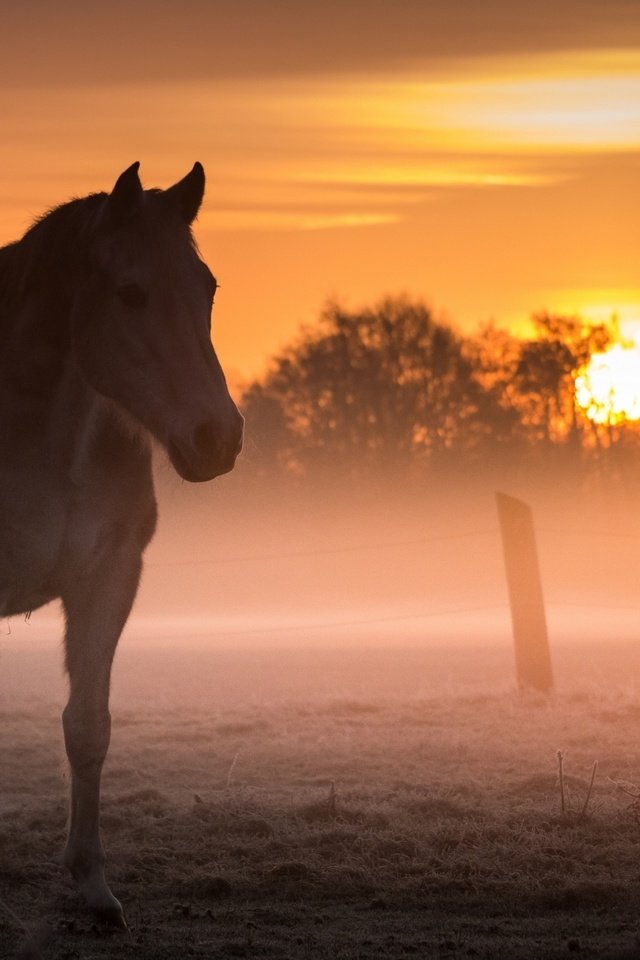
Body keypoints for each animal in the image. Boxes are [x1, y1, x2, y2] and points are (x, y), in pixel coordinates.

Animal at [0, 165, 245, 928]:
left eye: (209, 288)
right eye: (130, 292)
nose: (217, 438)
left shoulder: (109, 580)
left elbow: (88, 727)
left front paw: (92, 885)